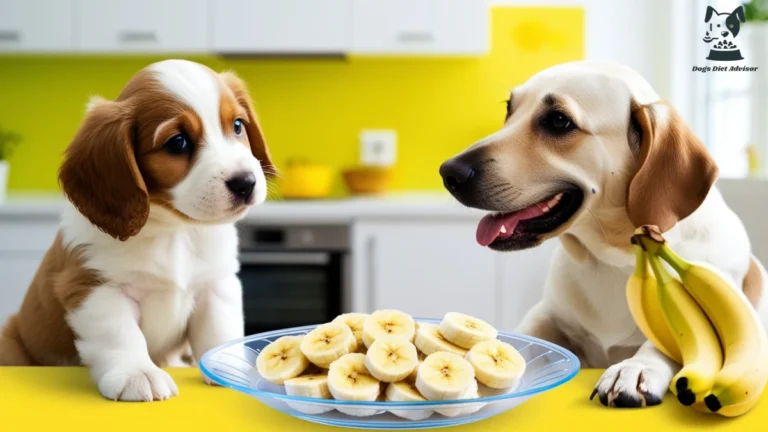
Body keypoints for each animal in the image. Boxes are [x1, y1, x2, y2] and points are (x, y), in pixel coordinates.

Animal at [0, 60, 272, 402]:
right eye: (177, 142)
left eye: (237, 125)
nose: (245, 183)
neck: (174, 231)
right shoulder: (95, 287)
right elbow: (121, 335)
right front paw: (137, 373)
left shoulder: (216, 284)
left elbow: (219, 328)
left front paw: (228, 366)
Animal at [440, 60, 764, 408]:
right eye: (509, 109)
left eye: (558, 121)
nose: (448, 172)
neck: (617, 260)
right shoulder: (547, 314)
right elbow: (527, 335)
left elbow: (665, 342)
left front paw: (636, 367)